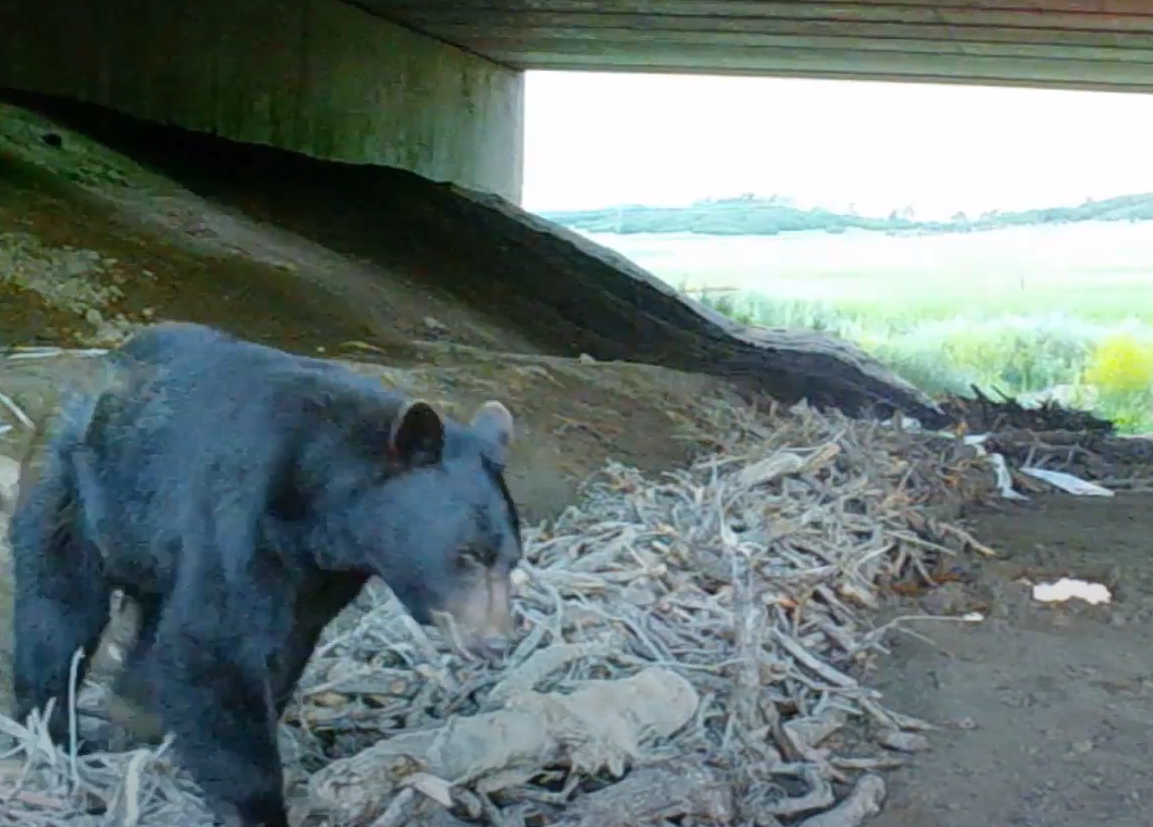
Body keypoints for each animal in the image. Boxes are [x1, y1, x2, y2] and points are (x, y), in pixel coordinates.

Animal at [7, 320, 523, 825]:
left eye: (513, 559)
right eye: (467, 555)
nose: (497, 642)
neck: (322, 503)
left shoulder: (321, 576)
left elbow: (283, 647)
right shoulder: (239, 512)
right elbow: (213, 646)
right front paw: (257, 804)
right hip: (76, 492)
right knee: (58, 609)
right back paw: (56, 726)